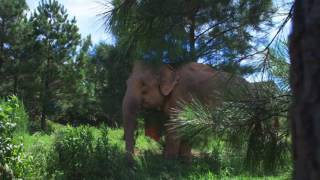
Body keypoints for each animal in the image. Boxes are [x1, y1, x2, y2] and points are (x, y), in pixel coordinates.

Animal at [122, 61, 250, 164]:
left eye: (143, 84)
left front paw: (168, 162)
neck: (172, 67)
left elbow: (175, 127)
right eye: (126, 82)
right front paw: (184, 161)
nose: (133, 161)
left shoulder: (184, 95)